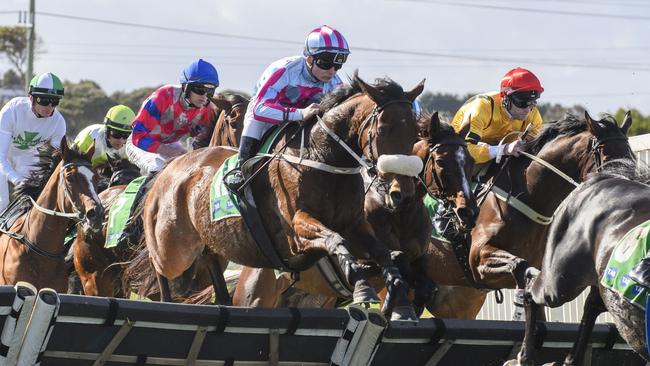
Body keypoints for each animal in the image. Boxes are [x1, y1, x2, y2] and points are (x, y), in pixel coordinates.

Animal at [123, 74, 426, 320]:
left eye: (415, 132)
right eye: (383, 130)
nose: (402, 193)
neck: (323, 159)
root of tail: (168, 169)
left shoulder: (355, 226)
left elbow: (388, 255)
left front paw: (399, 300)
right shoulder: (296, 230)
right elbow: (335, 241)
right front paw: (364, 290)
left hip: (210, 246)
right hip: (173, 248)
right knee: (160, 269)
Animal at [230, 110, 478, 316]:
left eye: (471, 162)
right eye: (441, 161)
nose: (469, 212)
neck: (398, 212)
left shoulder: (420, 260)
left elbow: (422, 284)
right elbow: (389, 266)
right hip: (255, 297)